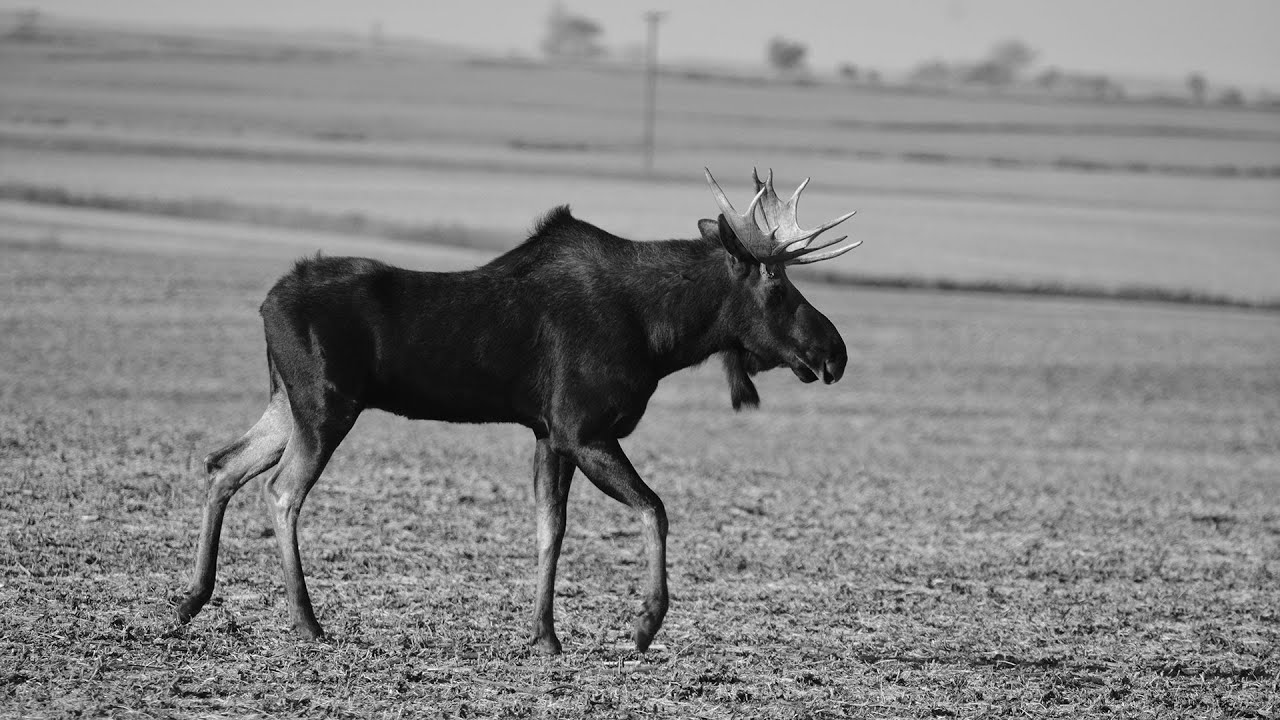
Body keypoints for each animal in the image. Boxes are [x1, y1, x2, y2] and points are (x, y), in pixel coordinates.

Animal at [172, 168, 860, 654]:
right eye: (775, 281)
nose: (836, 351)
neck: (662, 335)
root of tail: (266, 303)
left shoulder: (549, 434)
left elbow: (549, 530)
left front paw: (544, 635)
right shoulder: (584, 428)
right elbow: (655, 510)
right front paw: (644, 624)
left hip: (288, 403)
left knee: (222, 464)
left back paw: (192, 598)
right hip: (325, 405)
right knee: (282, 491)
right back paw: (306, 621)